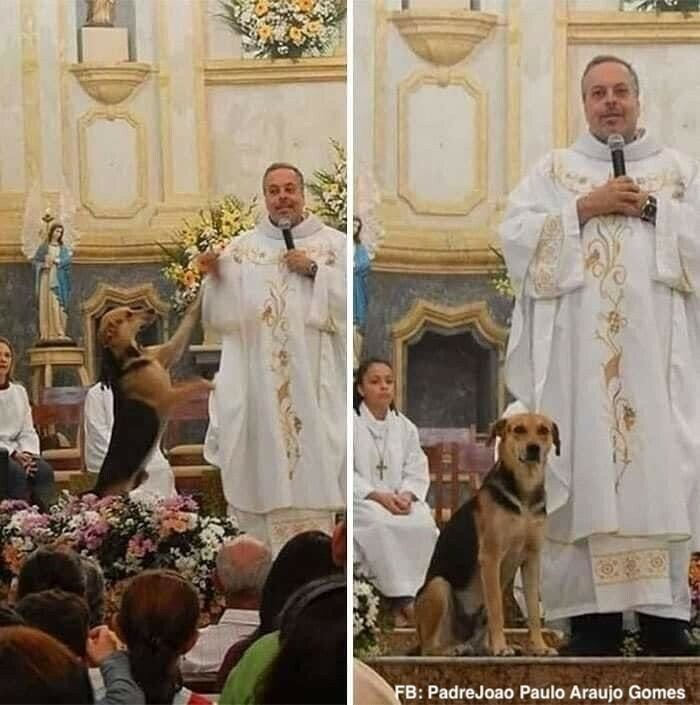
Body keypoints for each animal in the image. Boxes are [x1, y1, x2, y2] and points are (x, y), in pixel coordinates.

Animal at [91, 292, 215, 496]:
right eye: (128, 315)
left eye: (132, 309)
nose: (150, 310)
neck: (134, 358)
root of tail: (96, 488)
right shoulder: (166, 397)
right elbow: (195, 383)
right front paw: (211, 384)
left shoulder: (170, 350)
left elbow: (189, 317)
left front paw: (200, 294)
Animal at [412, 410, 560, 656]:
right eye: (518, 429)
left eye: (543, 430)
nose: (534, 448)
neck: (524, 495)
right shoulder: (491, 558)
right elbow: (497, 610)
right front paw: (501, 648)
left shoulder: (531, 560)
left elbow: (532, 610)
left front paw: (539, 647)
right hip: (438, 587)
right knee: (429, 648)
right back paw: (452, 649)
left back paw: (484, 647)